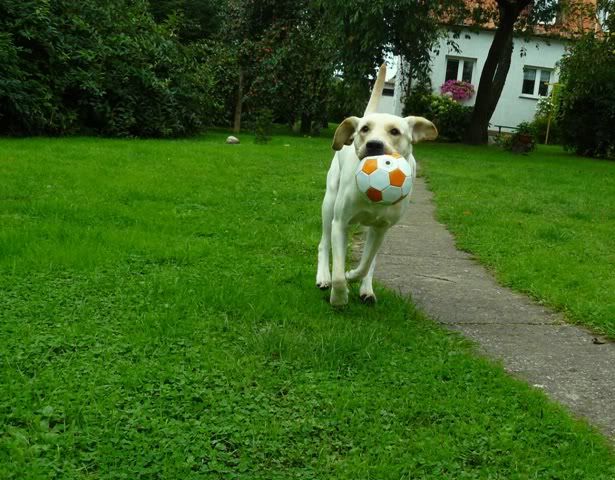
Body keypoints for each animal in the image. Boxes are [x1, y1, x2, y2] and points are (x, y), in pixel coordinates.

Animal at [316, 64, 438, 306]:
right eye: (364, 129)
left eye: (395, 131)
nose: (374, 145)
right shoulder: (340, 222)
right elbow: (338, 269)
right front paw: (339, 295)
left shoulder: (382, 227)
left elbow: (366, 263)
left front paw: (353, 276)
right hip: (329, 202)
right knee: (324, 243)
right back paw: (323, 276)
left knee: (370, 259)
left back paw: (366, 289)